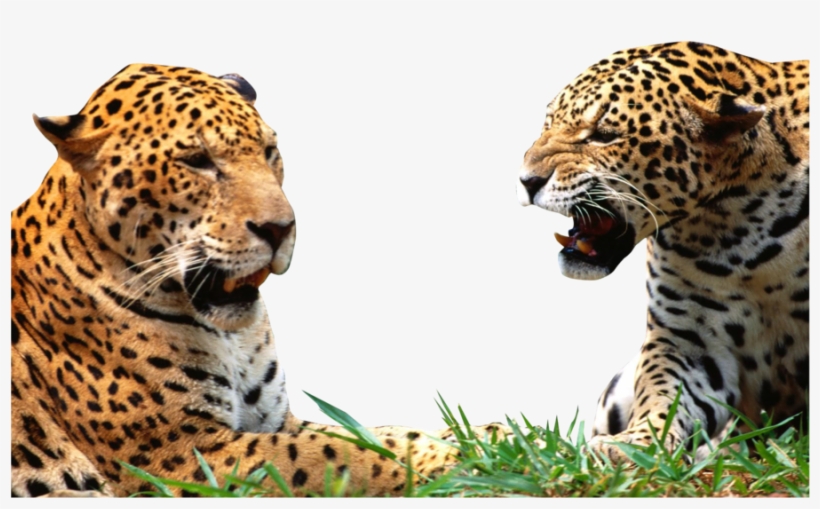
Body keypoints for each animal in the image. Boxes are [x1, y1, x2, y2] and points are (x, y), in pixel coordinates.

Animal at [11, 64, 505, 497]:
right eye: (197, 160)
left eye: (270, 153)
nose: (280, 228)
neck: (231, 339)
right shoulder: (182, 455)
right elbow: (342, 455)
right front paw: (451, 463)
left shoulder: (274, 420)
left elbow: (373, 433)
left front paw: (489, 438)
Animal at [516, 42, 808, 461]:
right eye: (548, 123)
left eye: (604, 136)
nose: (525, 180)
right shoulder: (689, 339)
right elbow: (662, 396)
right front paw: (634, 444)